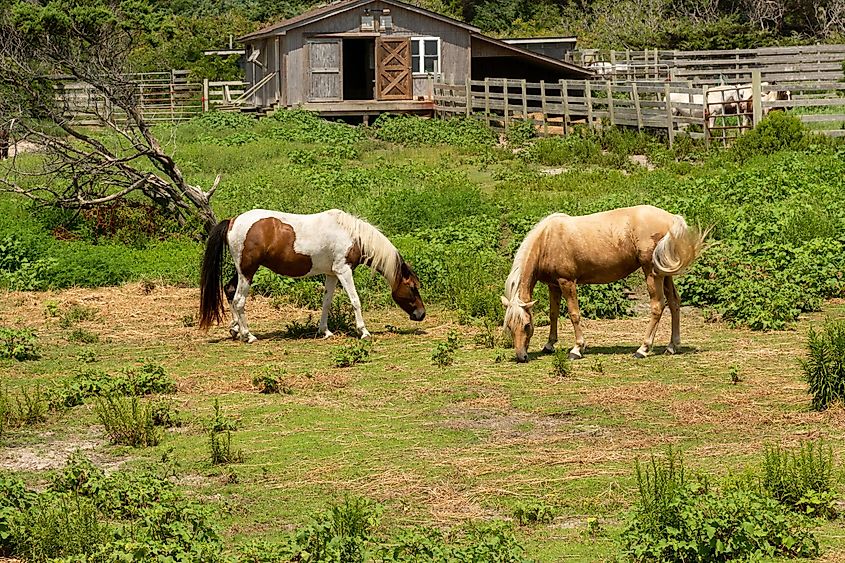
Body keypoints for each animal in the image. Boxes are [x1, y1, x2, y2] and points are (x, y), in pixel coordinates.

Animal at [196, 209, 422, 344]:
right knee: (239, 301)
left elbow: (326, 303)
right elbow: (355, 300)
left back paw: (235, 329)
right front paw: (363, 332)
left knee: (230, 291)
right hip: (248, 272)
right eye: (412, 287)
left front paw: (325, 331)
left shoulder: (332, 273)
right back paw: (248, 335)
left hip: (243, 271)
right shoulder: (344, 270)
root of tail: (233, 221)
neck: (351, 235)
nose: (421, 314)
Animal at [502, 205, 704, 364]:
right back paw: (672, 346)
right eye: (509, 326)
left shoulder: (567, 282)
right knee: (674, 302)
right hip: (664, 272)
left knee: (658, 306)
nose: (521, 357)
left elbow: (574, 314)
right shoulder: (553, 285)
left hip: (652, 272)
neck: (546, 240)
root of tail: (672, 219)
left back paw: (643, 349)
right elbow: (553, 314)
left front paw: (577, 349)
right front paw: (549, 345)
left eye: (527, 325)